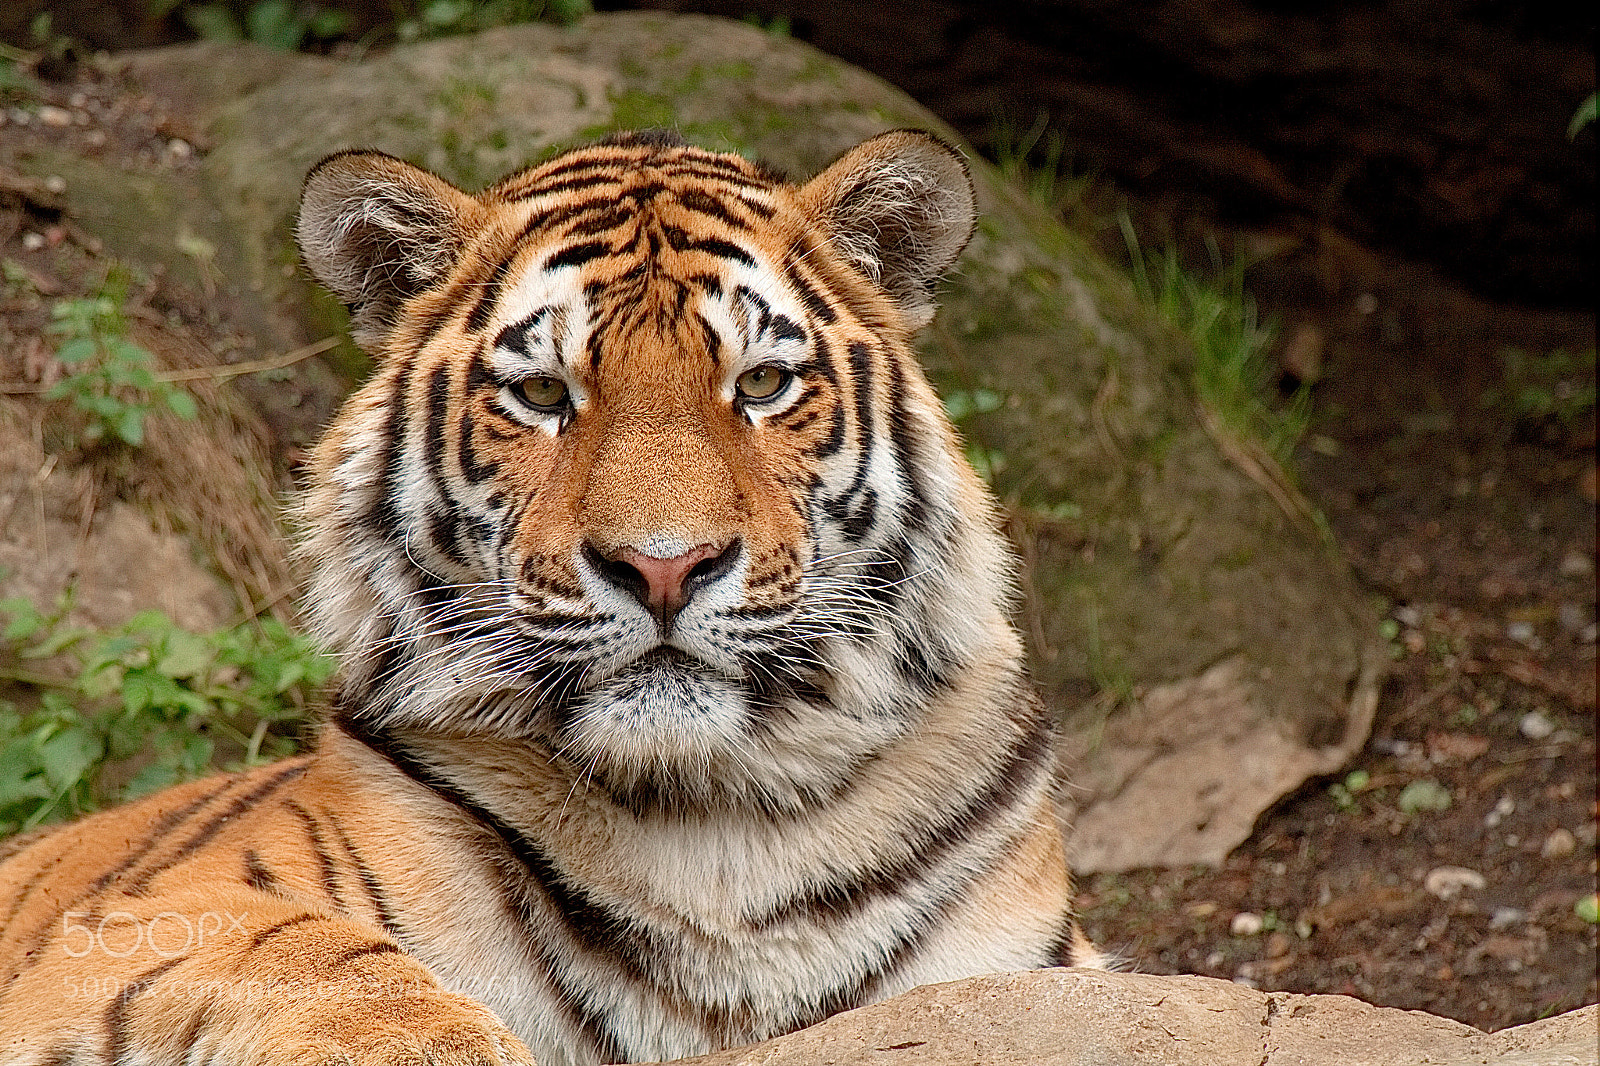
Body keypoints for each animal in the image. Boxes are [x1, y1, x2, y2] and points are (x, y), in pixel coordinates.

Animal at [0, 128, 1101, 1065]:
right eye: (541, 395)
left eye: (761, 384)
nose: (665, 567)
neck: (712, 828)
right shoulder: (134, 917)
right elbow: (303, 946)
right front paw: (428, 1042)